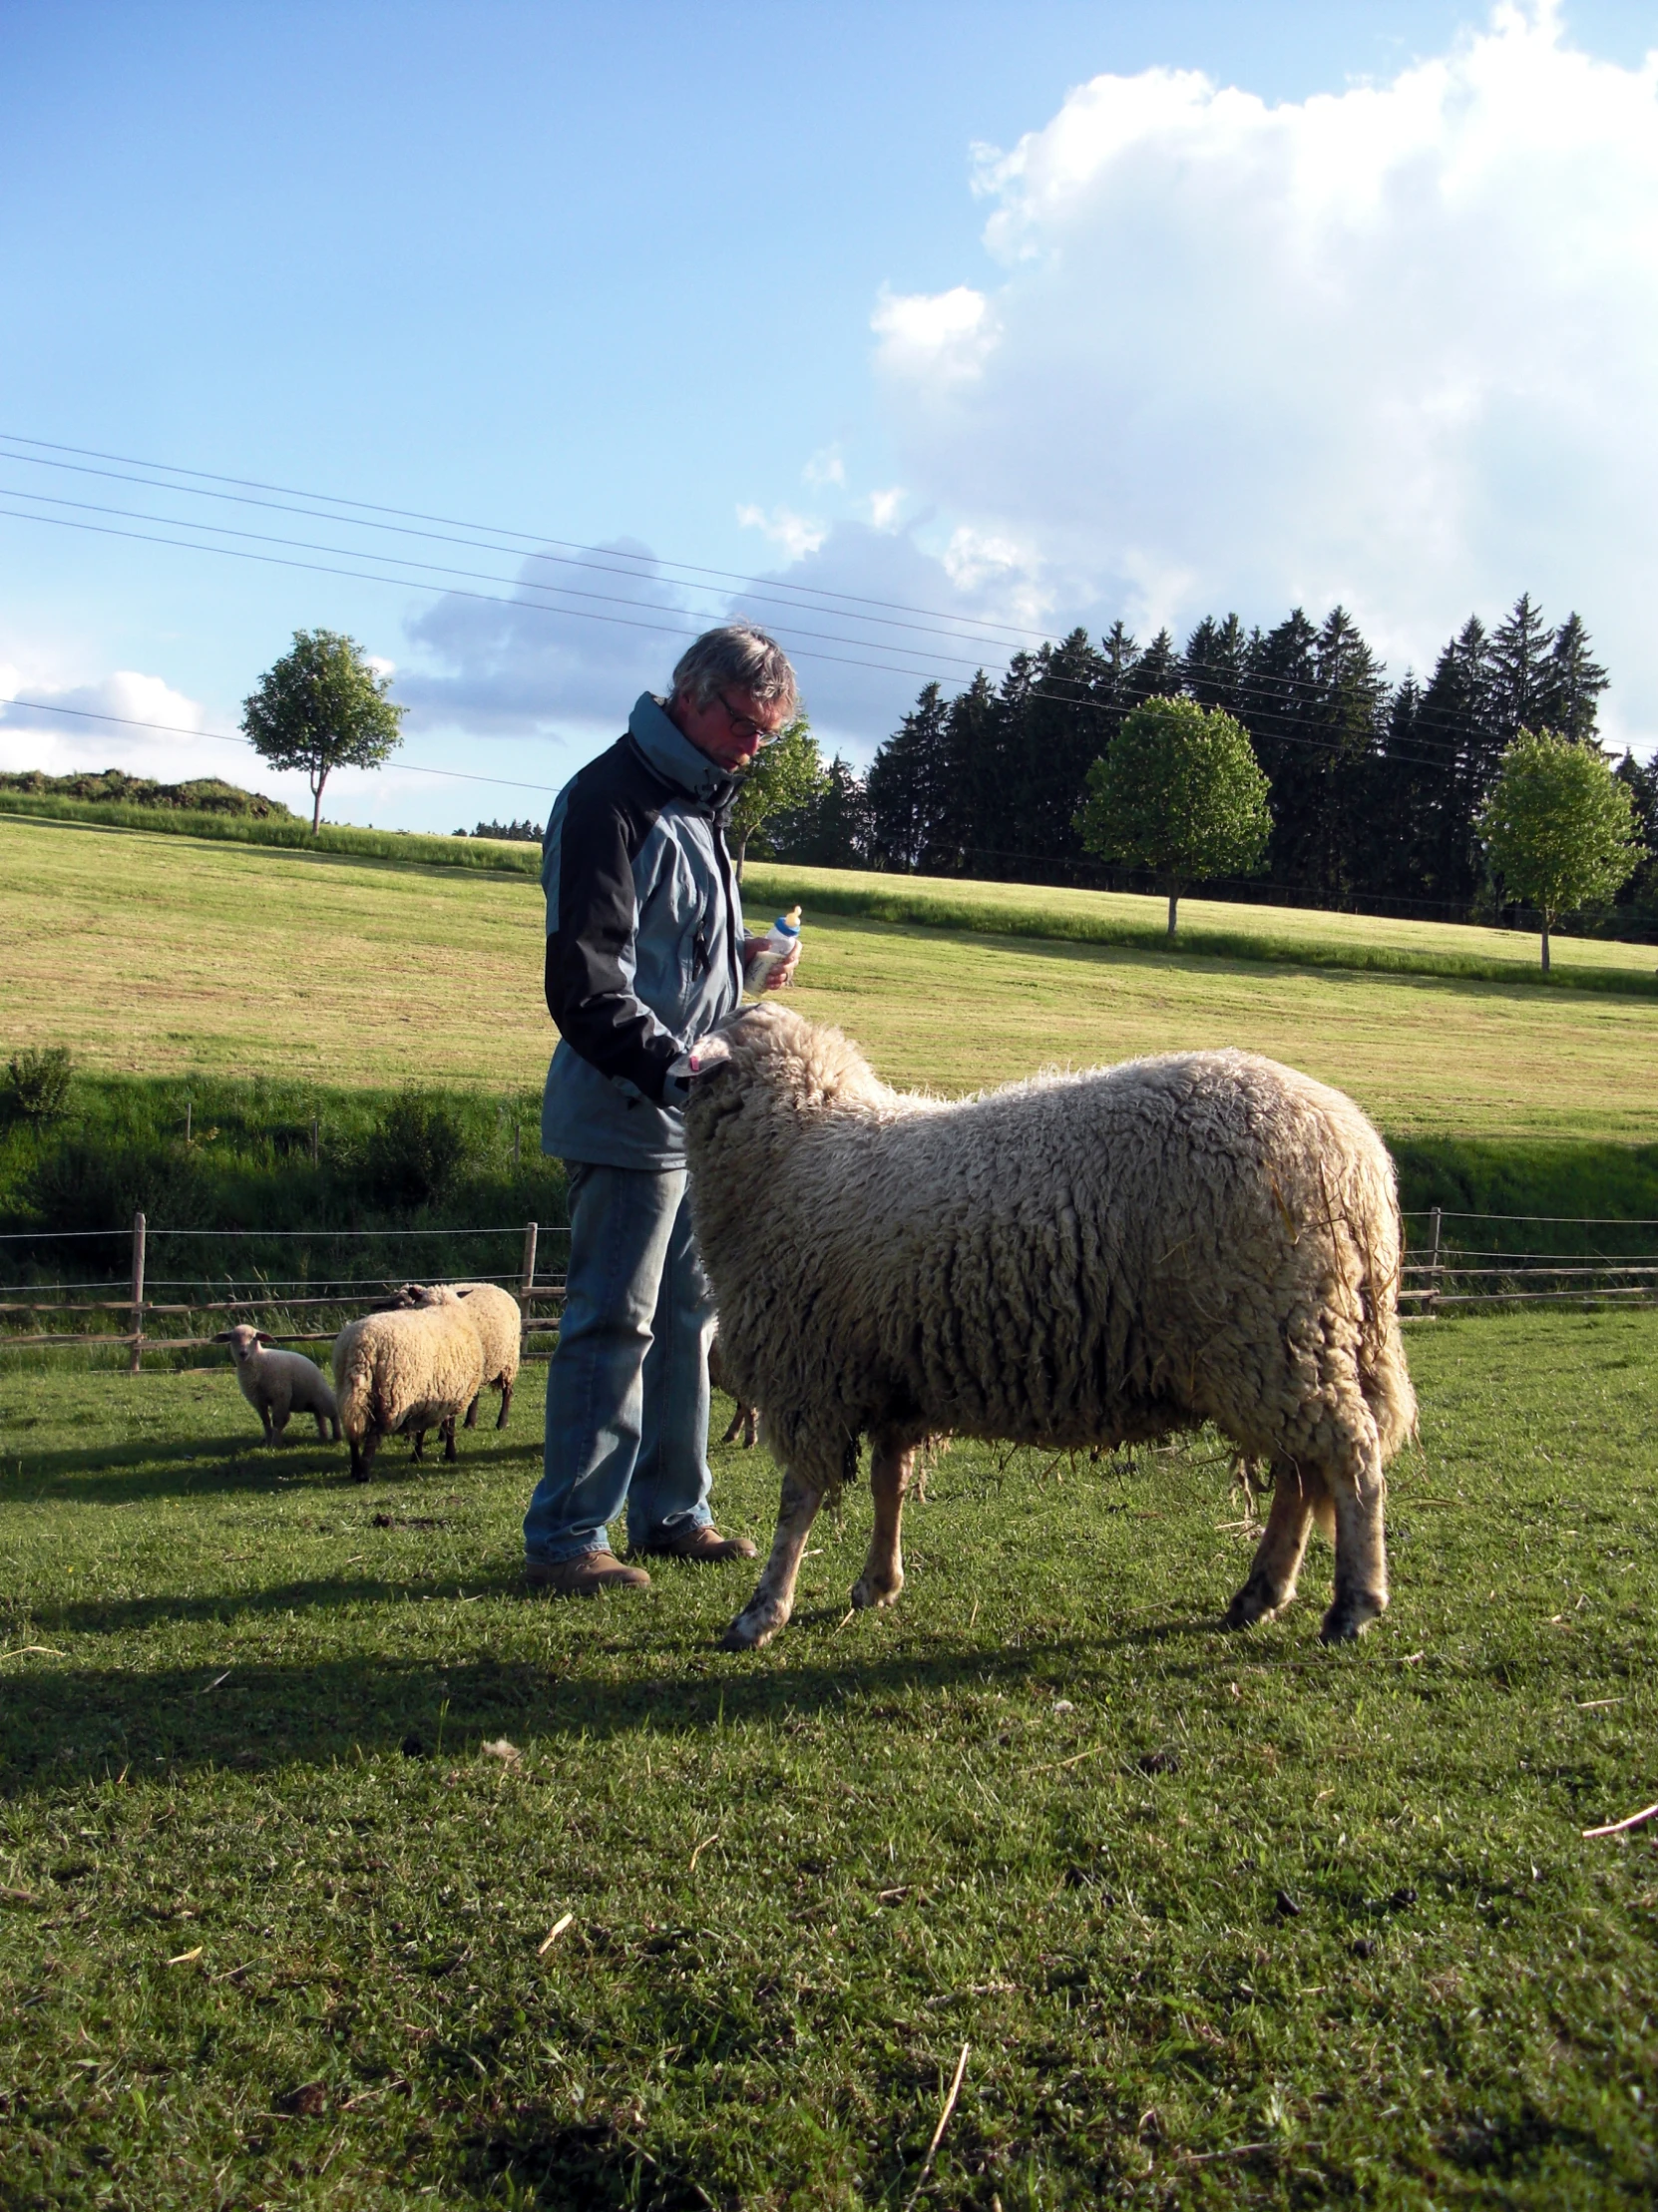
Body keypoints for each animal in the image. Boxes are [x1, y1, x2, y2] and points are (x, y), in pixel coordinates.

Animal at [333, 1300, 484, 1477]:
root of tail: (359, 1345)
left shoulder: (427, 1398)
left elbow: (422, 1429)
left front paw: (417, 1456)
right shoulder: (451, 1395)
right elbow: (447, 1426)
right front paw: (449, 1454)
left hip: (347, 1388)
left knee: (353, 1428)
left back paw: (355, 1468)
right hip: (390, 1395)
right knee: (374, 1431)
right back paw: (363, 1474)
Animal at [393, 1282, 521, 1433]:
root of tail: (496, 1287)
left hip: (510, 1360)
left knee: (507, 1391)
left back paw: (501, 1423)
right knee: (475, 1395)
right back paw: (470, 1423)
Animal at [680, 1013, 1424, 1654]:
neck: (795, 1150)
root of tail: (1360, 1159)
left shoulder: (810, 1374)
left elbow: (797, 1503)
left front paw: (762, 1611)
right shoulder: (895, 1378)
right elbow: (890, 1481)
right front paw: (877, 1583)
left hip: (1276, 1334)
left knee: (1350, 1457)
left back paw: (1353, 1603)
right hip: (1287, 1345)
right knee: (1301, 1473)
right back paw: (1259, 1594)